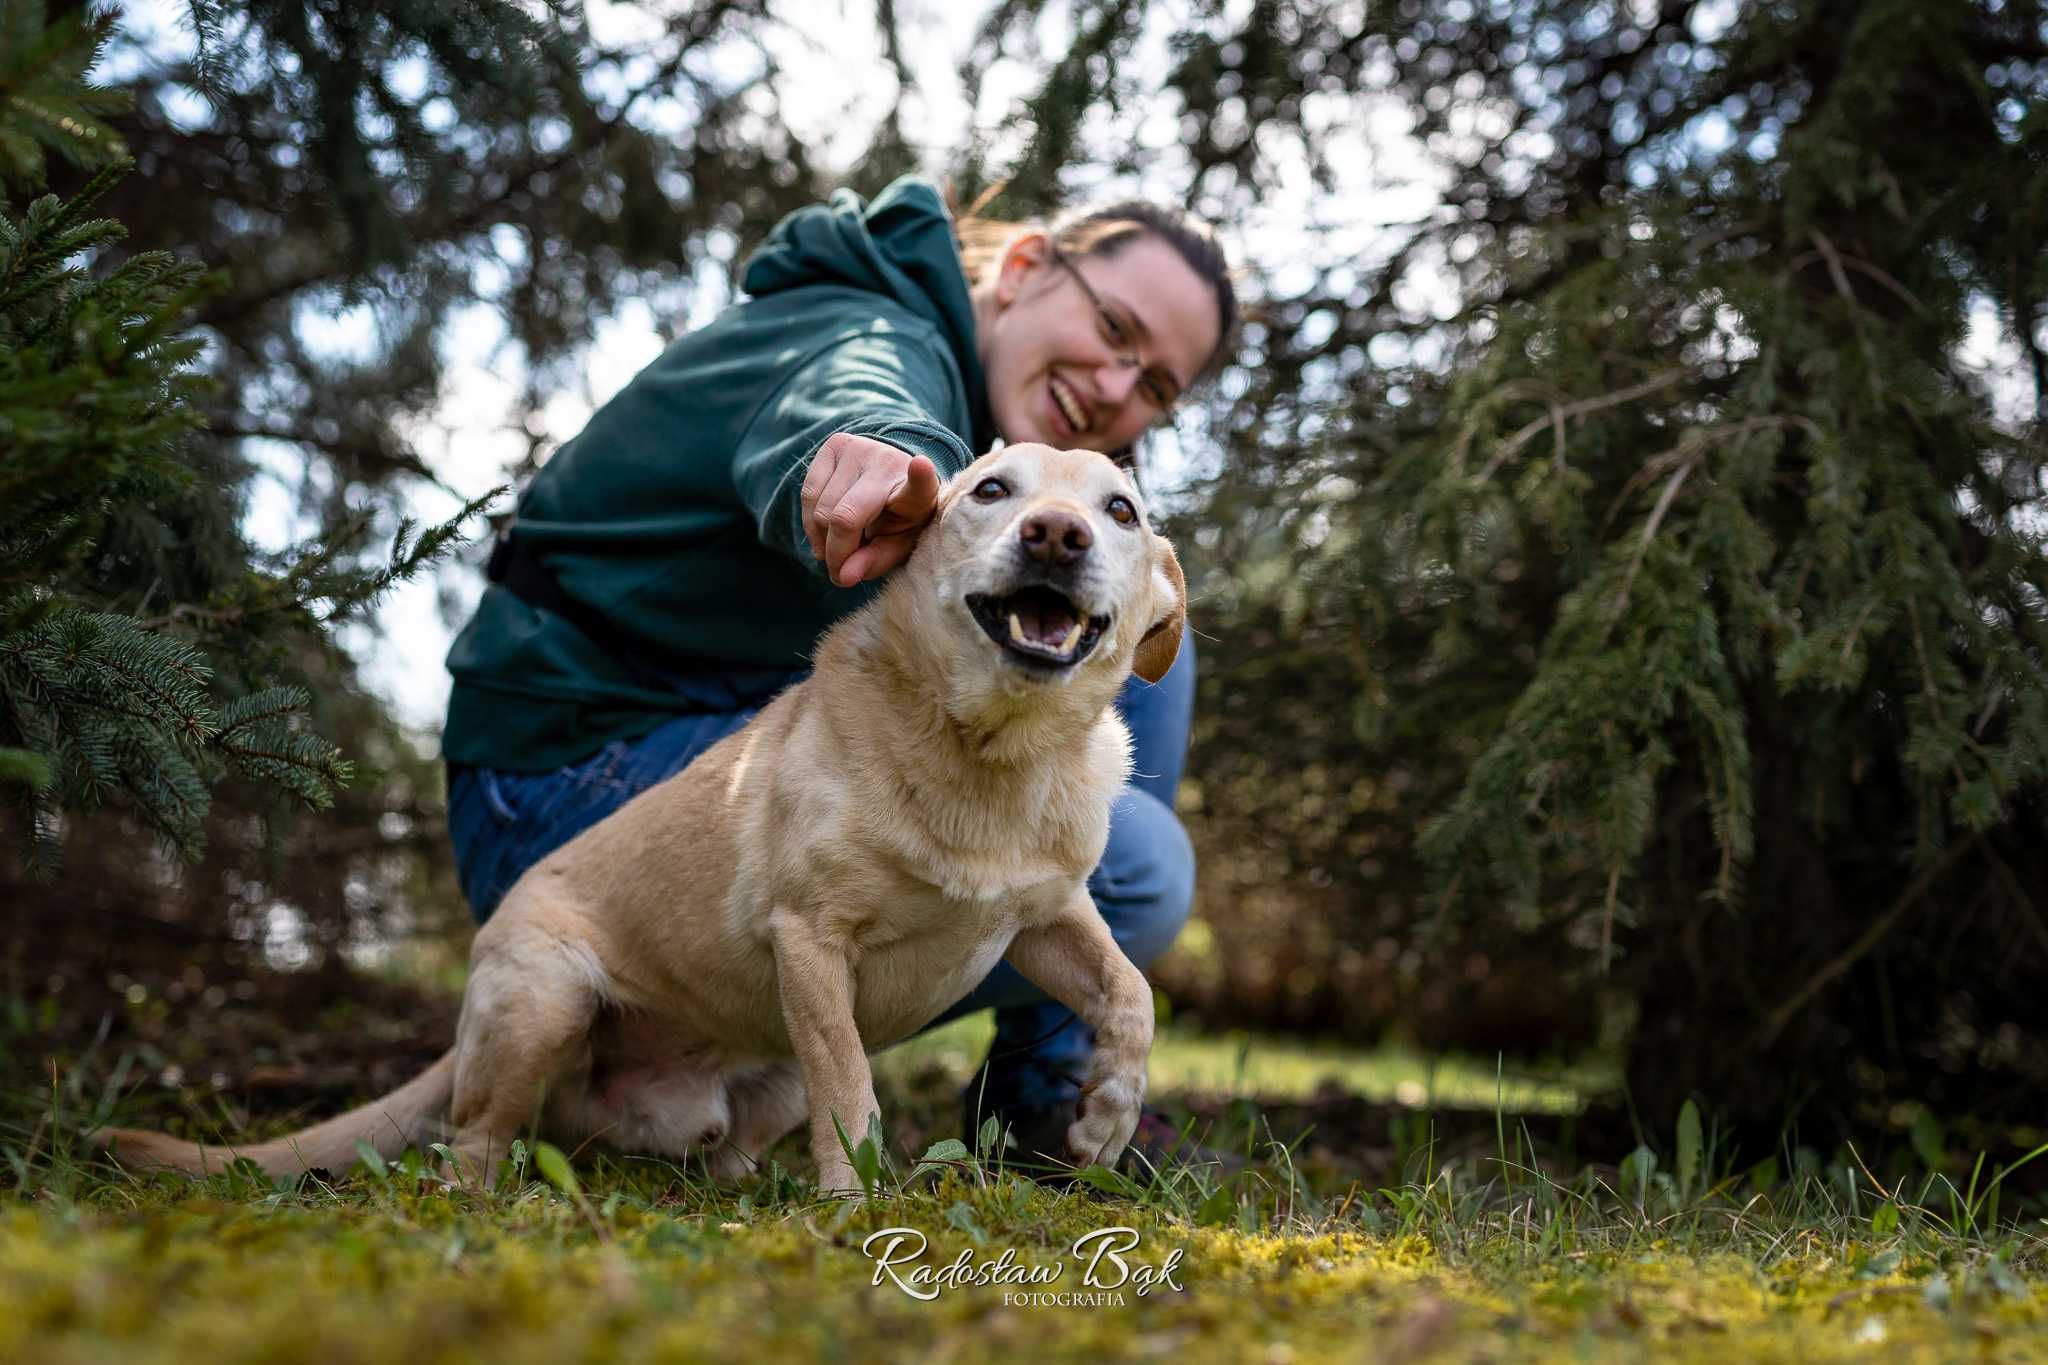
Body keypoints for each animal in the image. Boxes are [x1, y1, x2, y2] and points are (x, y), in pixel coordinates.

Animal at [99, 448, 1187, 1195]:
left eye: (1120, 511)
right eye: (990, 491)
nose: (1057, 535)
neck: (992, 754)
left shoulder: (1042, 919)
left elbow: (1131, 995)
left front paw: (1105, 1120)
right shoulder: (812, 937)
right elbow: (851, 1092)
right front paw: (852, 1203)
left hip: (767, 1067)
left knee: (731, 1151)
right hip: (547, 1000)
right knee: (470, 1141)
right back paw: (491, 1200)